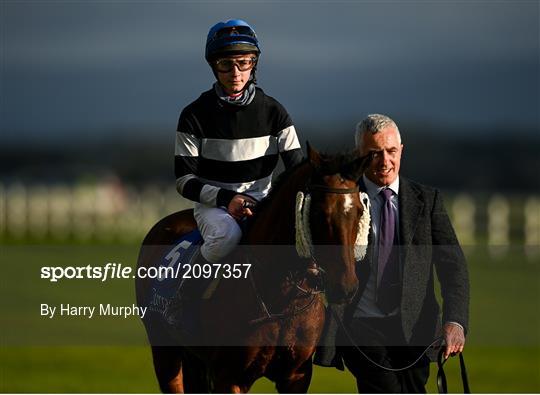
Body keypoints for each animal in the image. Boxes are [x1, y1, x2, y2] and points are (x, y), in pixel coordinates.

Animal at [135, 147, 372, 394]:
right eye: (318, 212)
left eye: (359, 211)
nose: (346, 286)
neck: (281, 299)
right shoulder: (229, 378)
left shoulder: (296, 376)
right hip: (164, 349)